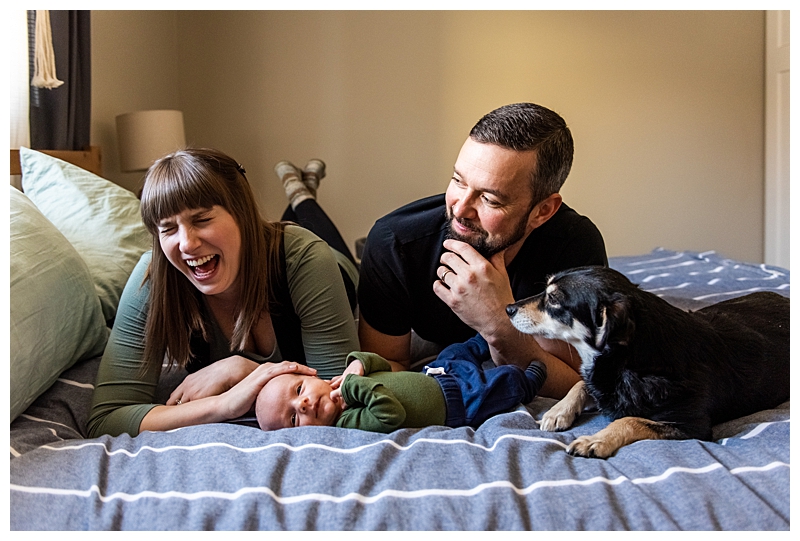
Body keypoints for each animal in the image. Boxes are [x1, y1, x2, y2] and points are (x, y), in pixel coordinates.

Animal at [506, 264, 788, 456]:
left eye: (553, 299)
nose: (508, 308)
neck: (626, 361)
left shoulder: (692, 426)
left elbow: (630, 419)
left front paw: (595, 440)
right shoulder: (601, 379)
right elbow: (581, 382)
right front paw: (559, 411)